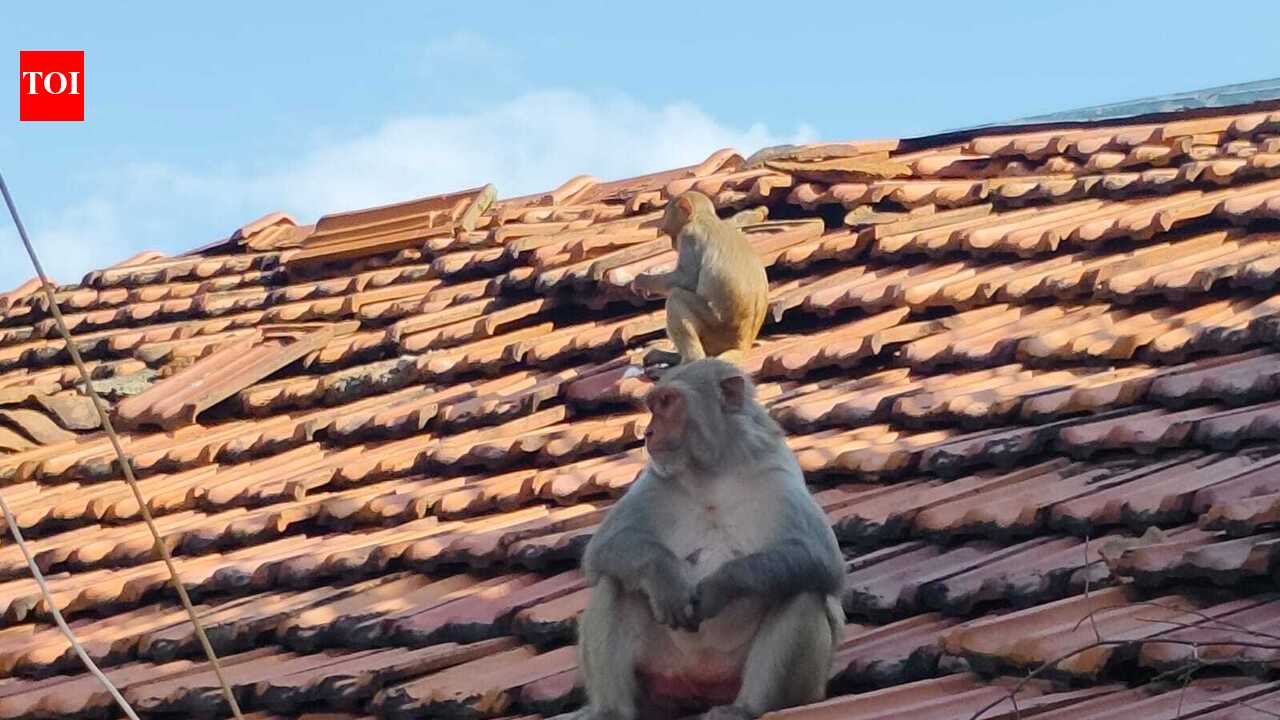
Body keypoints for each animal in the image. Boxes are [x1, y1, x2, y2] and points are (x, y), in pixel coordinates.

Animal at [576, 358, 845, 720]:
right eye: (654, 405)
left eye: (668, 402)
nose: (648, 433)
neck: (712, 470)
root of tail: (701, 689)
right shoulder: (655, 479)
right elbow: (605, 548)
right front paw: (665, 579)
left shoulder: (776, 474)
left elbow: (820, 559)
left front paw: (719, 586)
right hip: (664, 677)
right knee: (614, 583)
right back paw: (612, 711)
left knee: (803, 590)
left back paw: (747, 707)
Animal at [634, 192, 770, 370]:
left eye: (670, 233)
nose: (673, 244)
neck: (704, 218)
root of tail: (743, 345)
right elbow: (739, 220)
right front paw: (759, 212)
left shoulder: (689, 235)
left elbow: (686, 278)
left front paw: (641, 281)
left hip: (715, 328)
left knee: (676, 297)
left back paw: (689, 361)